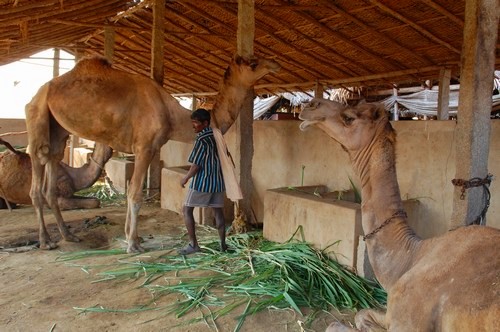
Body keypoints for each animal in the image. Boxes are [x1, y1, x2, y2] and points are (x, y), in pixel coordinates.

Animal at [23, 53, 280, 252]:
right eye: (253, 63)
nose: (273, 64)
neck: (171, 114)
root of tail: (38, 93)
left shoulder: (150, 148)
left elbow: (132, 192)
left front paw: (133, 237)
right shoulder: (144, 147)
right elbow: (135, 195)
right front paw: (132, 244)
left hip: (57, 129)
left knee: (53, 167)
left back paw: (68, 235)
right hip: (37, 115)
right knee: (36, 171)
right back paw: (46, 241)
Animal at [298, 98, 498, 332]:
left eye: (349, 117)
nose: (310, 105)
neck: (411, 256)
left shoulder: (406, 316)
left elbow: (335, 324)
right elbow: (361, 314)